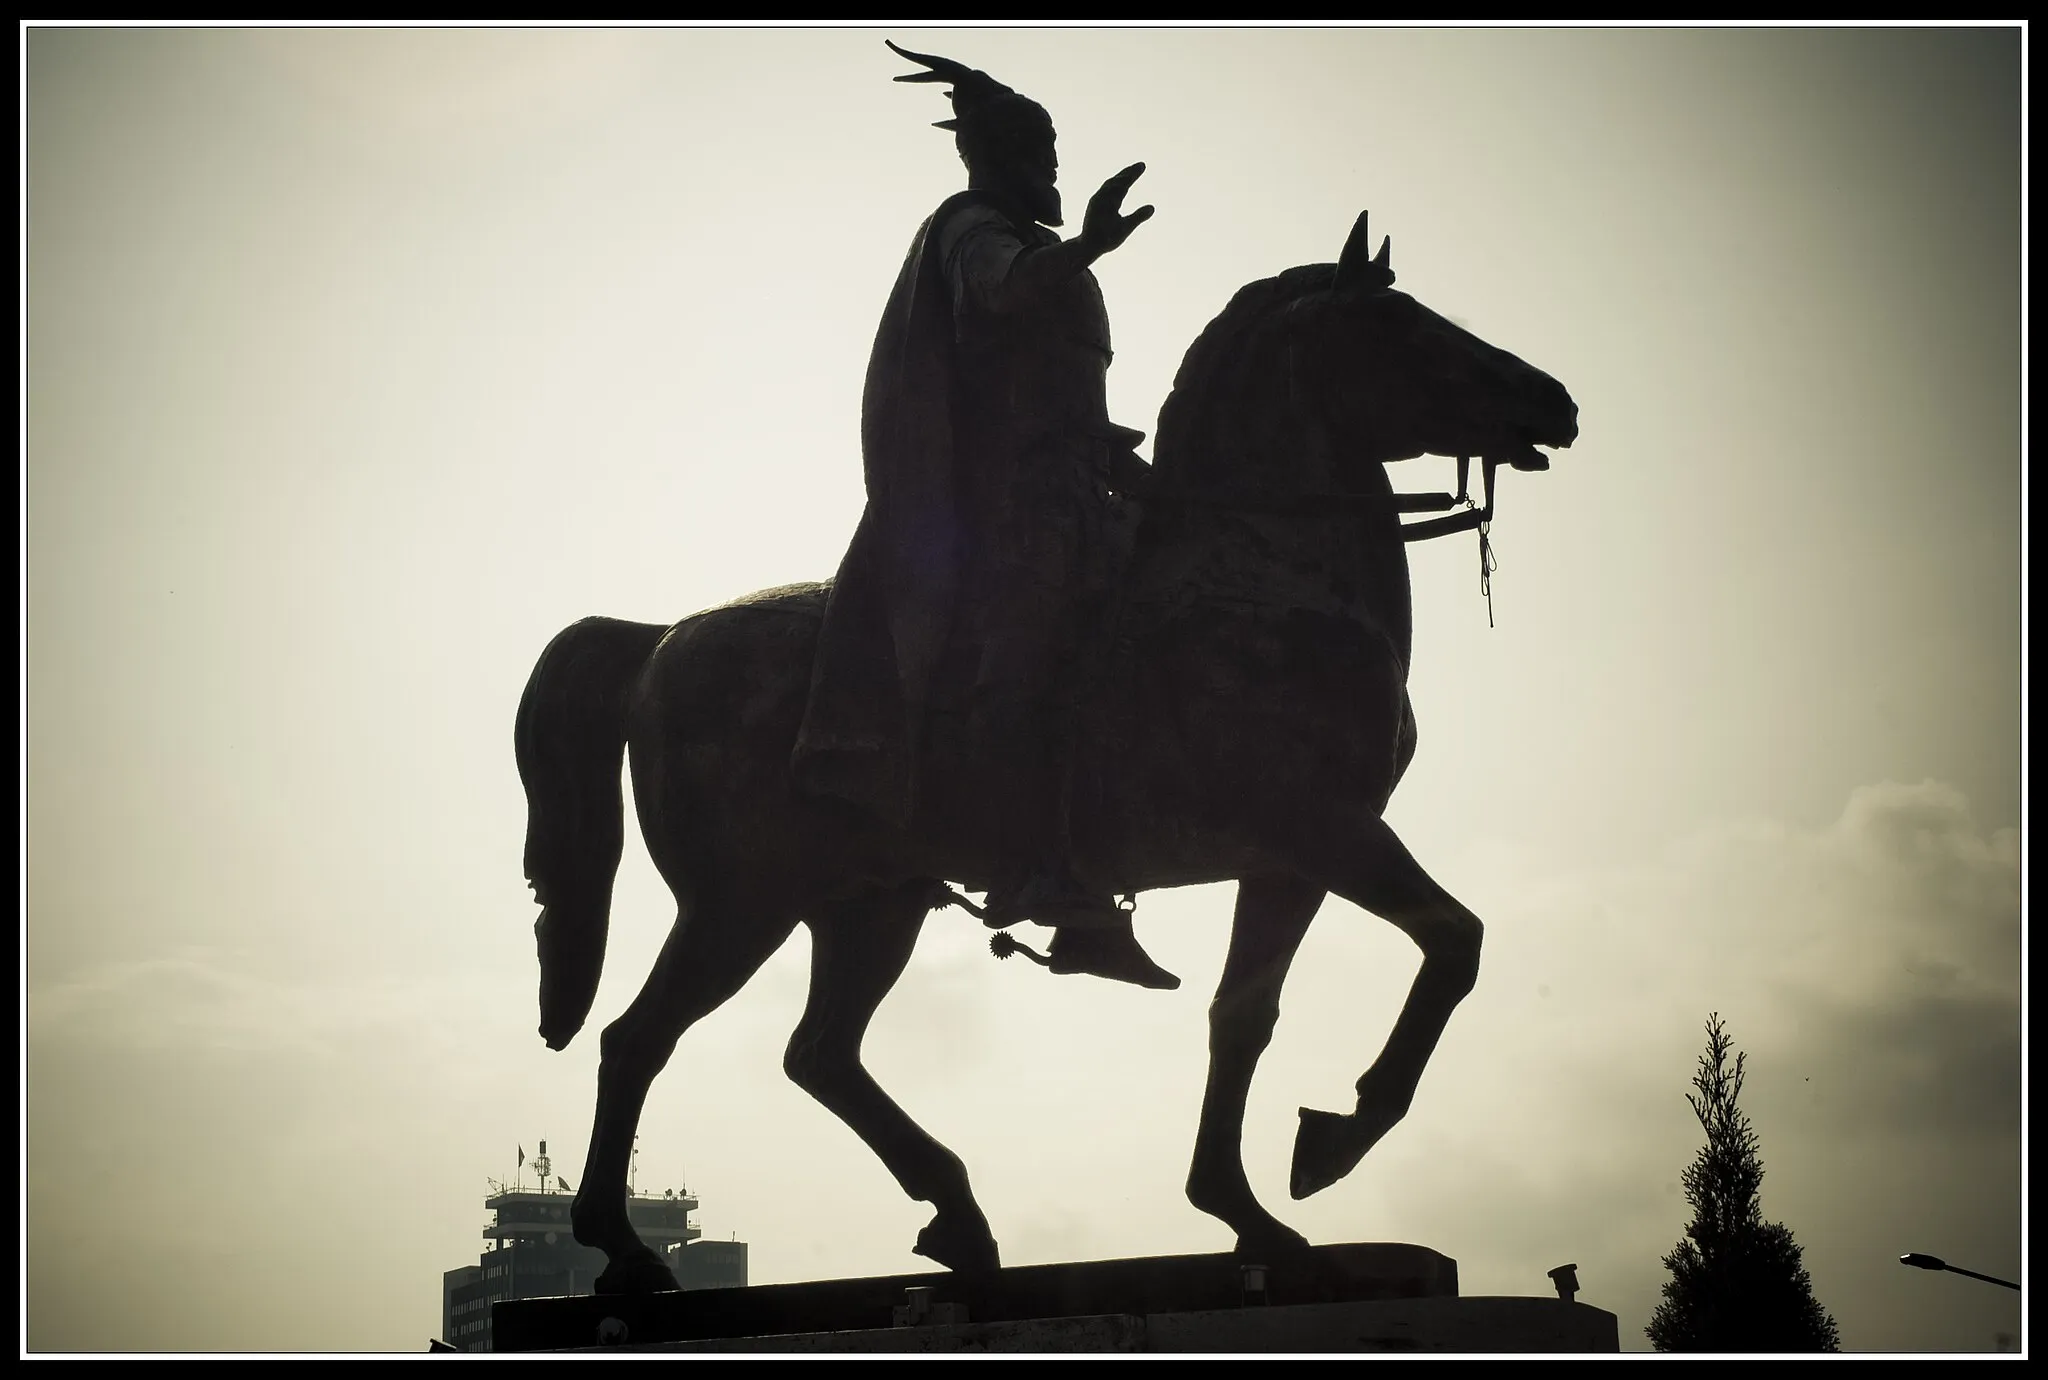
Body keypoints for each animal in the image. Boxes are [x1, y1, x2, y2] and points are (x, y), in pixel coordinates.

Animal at [516, 206, 1581, 1294]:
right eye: (1403, 325)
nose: (1553, 400)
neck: (1259, 577)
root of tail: (661, 640)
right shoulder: (1325, 827)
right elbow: (1453, 940)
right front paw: (1340, 1133)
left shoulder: (1288, 860)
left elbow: (1242, 1018)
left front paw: (1247, 1212)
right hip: (741, 904)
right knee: (637, 1041)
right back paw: (626, 1249)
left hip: (869, 904)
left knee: (819, 1053)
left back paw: (957, 1215)